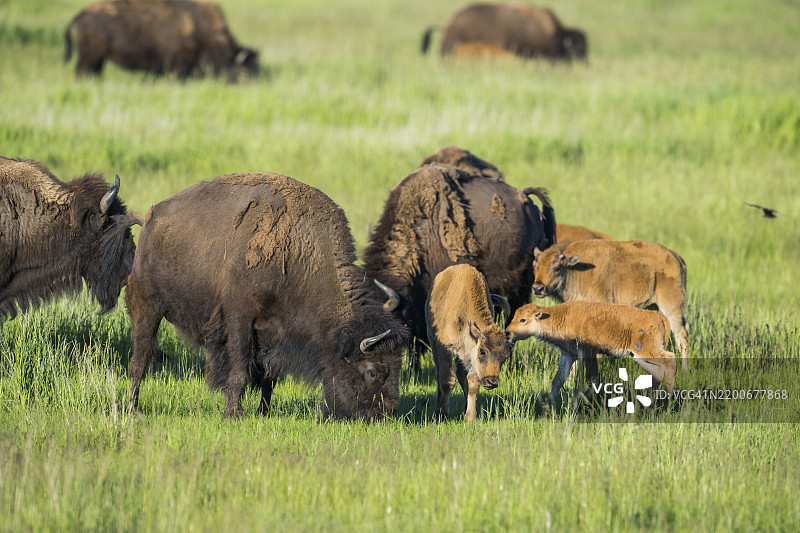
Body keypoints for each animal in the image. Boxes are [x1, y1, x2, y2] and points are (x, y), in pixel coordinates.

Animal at [64, 0, 259, 80]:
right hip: (90, 57)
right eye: (246, 69)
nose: (254, 83)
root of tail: (84, 12)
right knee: (81, 72)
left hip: (99, 59)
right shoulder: (178, 63)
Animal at [126, 172, 409, 419]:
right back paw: (134, 409)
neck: (300, 254)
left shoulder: (274, 332)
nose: (384, 415)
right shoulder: (240, 318)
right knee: (140, 358)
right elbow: (240, 368)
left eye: (398, 366)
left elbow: (269, 378)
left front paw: (263, 412)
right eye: (373, 372)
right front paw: (234, 414)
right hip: (148, 307)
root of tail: (150, 218)